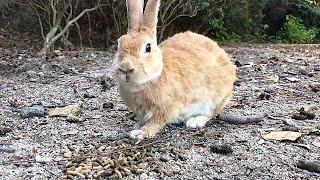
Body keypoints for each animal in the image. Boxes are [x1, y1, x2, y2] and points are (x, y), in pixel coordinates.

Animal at [113, 0, 238, 139]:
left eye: (148, 47)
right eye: (119, 44)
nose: (125, 69)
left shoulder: (167, 108)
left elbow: (156, 122)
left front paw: (140, 133)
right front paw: (138, 125)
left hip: (216, 98)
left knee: (210, 113)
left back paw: (195, 121)